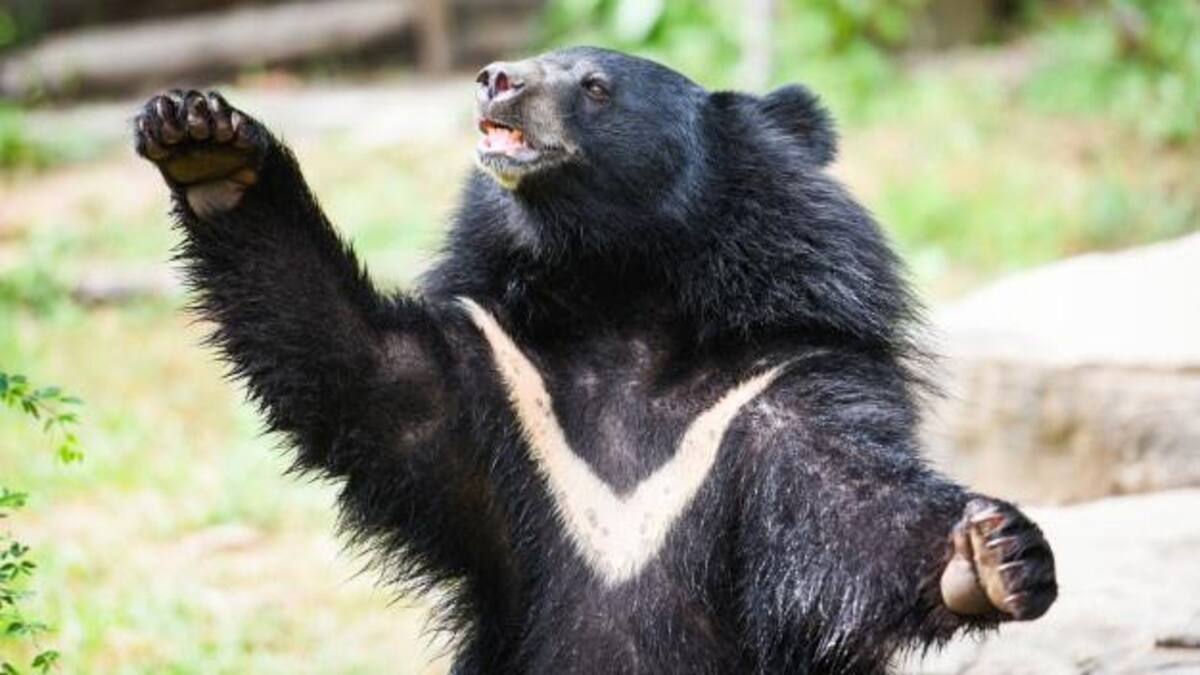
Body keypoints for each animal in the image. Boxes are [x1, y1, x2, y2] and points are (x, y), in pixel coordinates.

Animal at [133, 46, 1057, 674]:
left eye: (596, 87)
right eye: (532, 64)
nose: (495, 79)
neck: (625, 299)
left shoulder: (779, 390)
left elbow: (848, 506)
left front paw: (995, 556)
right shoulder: (496, 380)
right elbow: (356, 364)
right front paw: (205, 141)